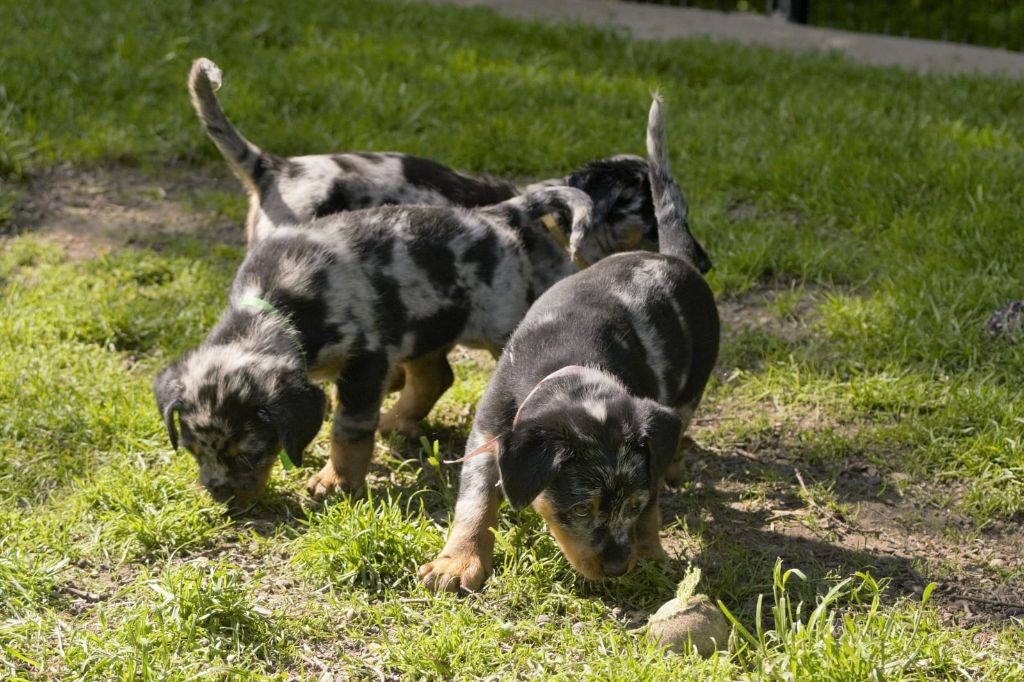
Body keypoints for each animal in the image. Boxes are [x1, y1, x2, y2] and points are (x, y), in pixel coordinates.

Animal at [153, 183, 630, 507]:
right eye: (194, 450)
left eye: (246, 453)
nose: (219, 497)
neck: (285, 302)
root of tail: (496, 216)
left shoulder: (366, 360)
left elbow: (347, 428)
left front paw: (336, 482)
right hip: (421, 325)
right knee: (436, 375)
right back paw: (398, 422)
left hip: (498, 327)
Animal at [417, 95, 720, 589]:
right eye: (580, 509)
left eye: (630, 504)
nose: (617, 569)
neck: (575, 365)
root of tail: (673, 257)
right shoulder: (489, 430)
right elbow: (475, 502)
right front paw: (457, 563)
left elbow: (652, 505)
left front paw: (653, 556)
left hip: (693, 384)